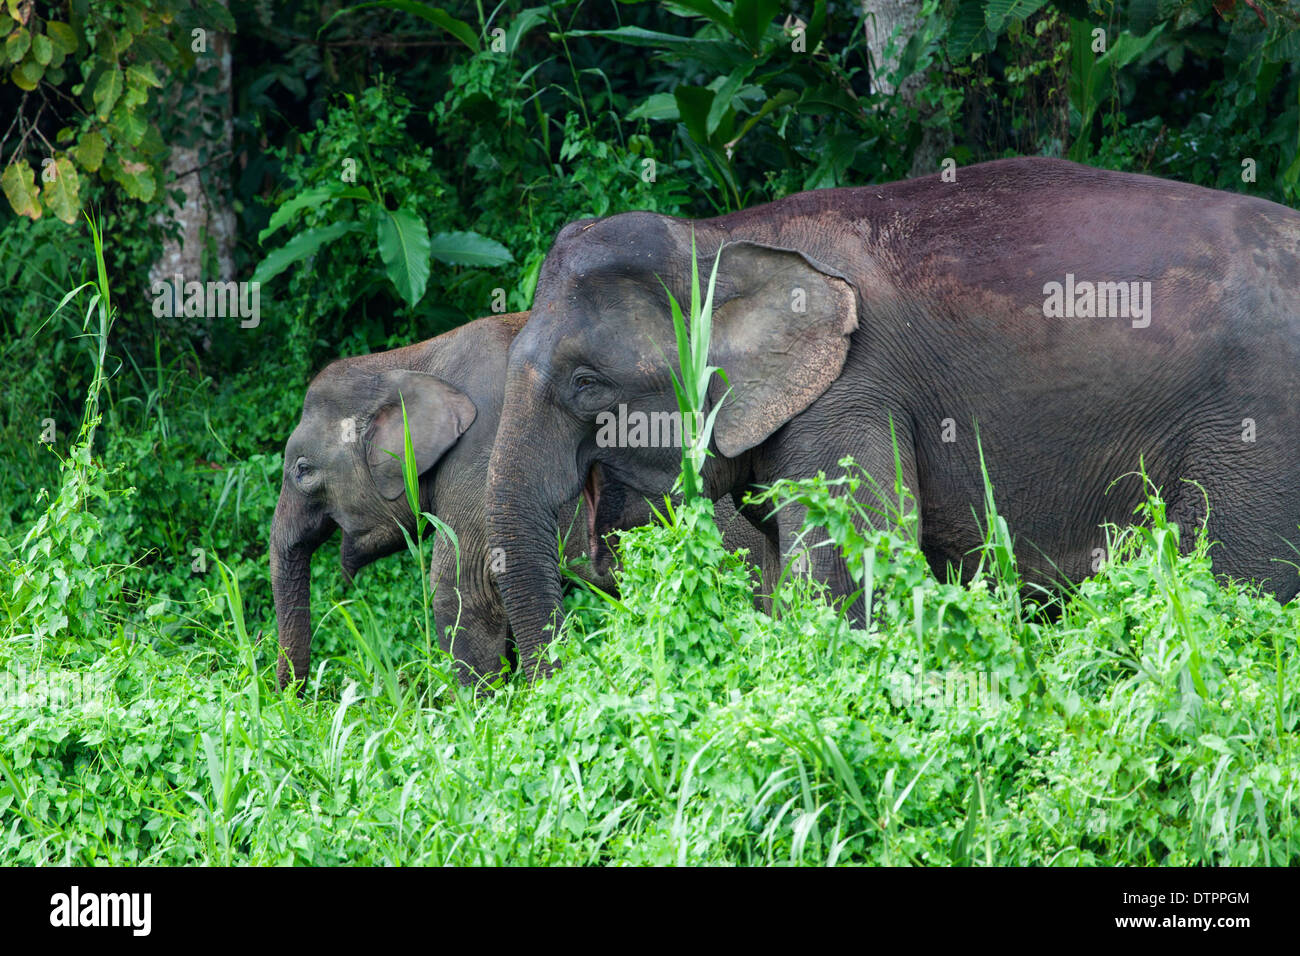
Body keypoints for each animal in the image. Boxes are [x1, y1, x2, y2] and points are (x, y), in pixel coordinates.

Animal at [488, 157, 1300, 676]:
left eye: (587, 383)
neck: (718, 237)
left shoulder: (851, 396)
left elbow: (846, 581)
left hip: (1255, 431)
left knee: (1241, 580)